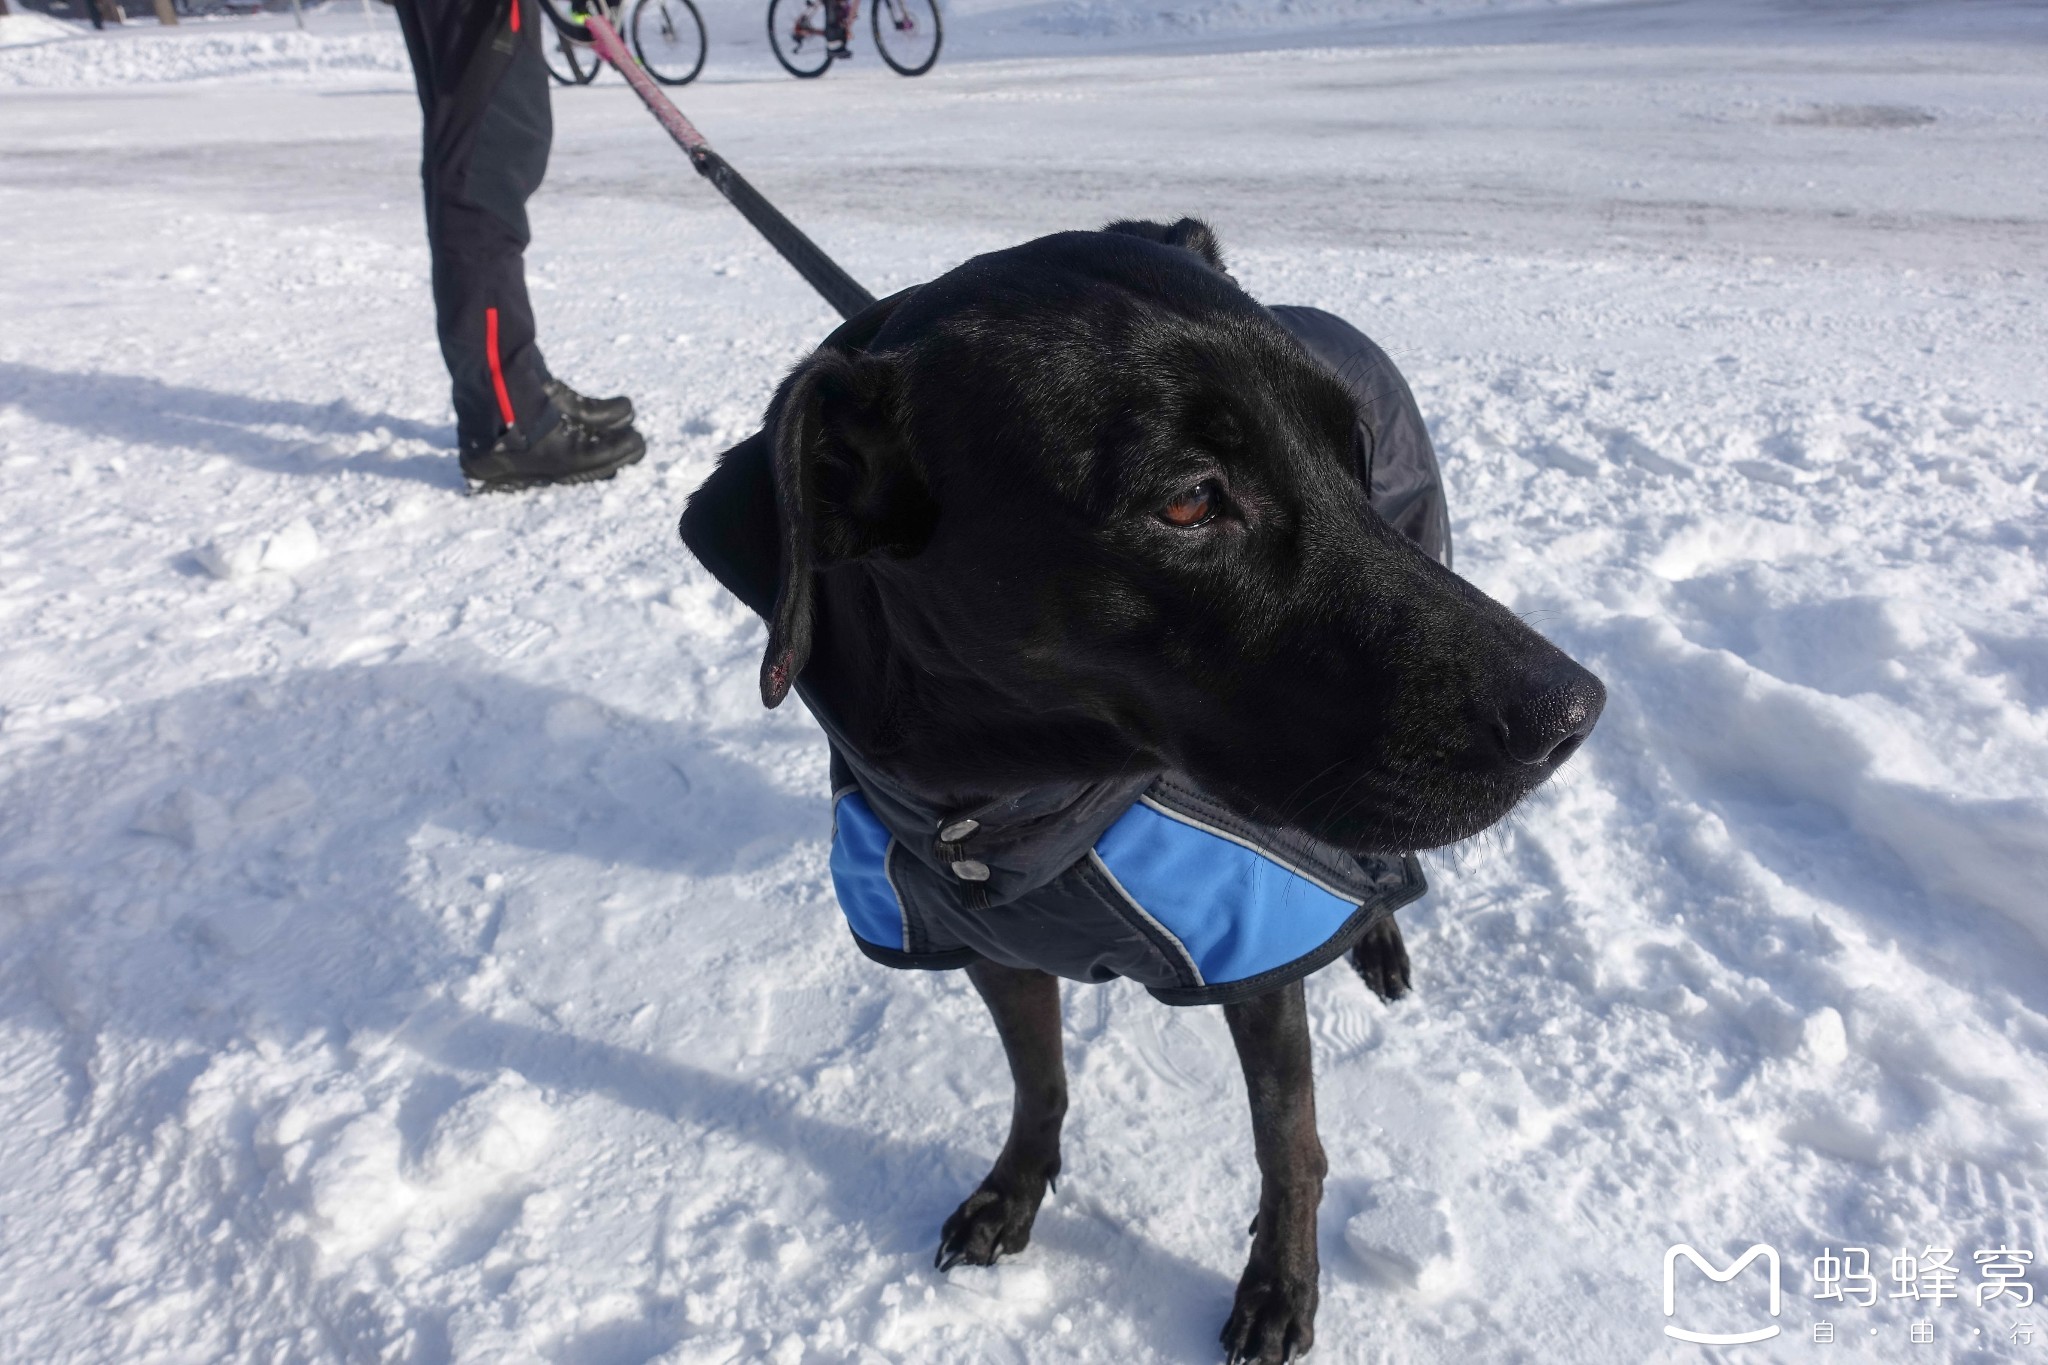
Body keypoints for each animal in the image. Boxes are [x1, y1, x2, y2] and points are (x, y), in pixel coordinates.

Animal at [679, 218, 1605, 1358]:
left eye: (1347, 454)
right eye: (1189, 498)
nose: (1574, 712)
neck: (1010, 810)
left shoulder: (1259, 951)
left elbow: (1288, 1142)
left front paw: (1278, 1287)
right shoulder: (987, 947)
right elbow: (1037, 1078)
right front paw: (1012, 1192)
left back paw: (1381, 939)